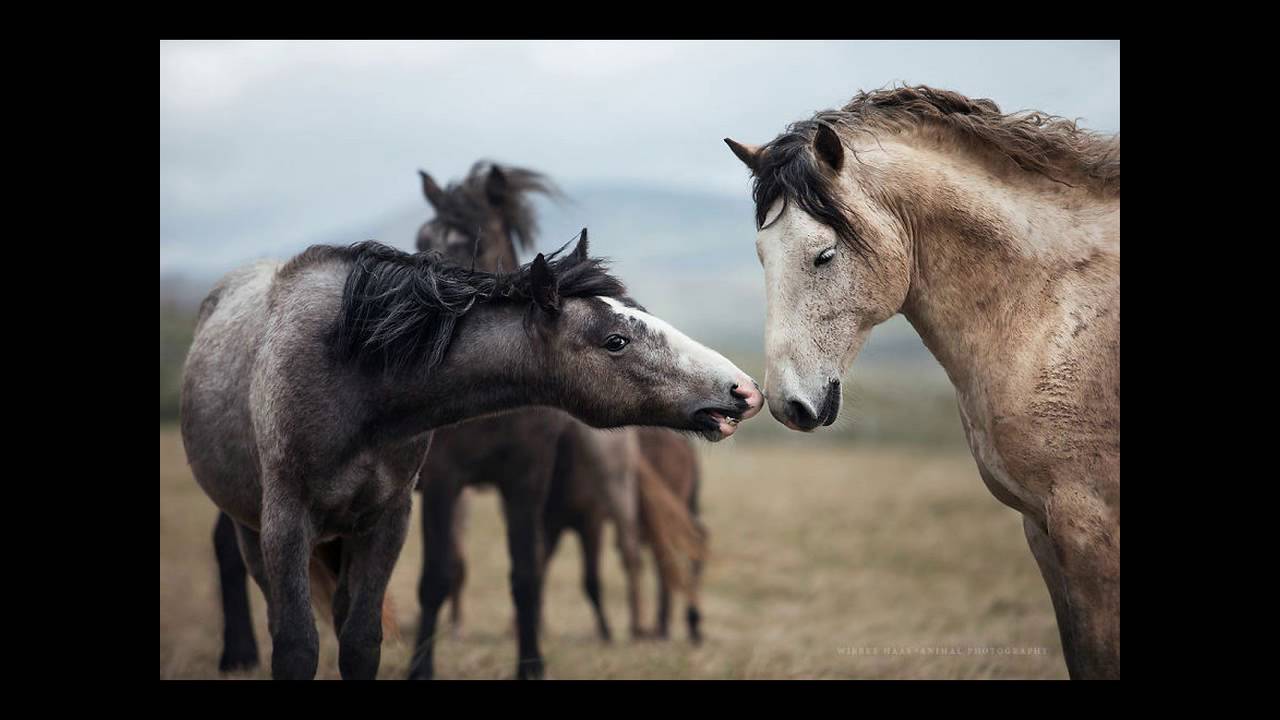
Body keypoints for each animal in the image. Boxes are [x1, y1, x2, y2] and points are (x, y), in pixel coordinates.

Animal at [181, 233, 763, 680]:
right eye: (616, 340)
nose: (744, 389)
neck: (355, 372)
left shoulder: (388, 520)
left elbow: (362, 639)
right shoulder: (287, 521)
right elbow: (298, 644)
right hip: (248, 516)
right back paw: (237, 656)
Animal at [410, 163, 706, 680]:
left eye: (473, 243)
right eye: (421, 237)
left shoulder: (526, 479)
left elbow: (527, 575)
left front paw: (531, 664)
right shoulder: (445, 480)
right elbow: (436, 577)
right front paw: (420, 666)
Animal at [724, 85, 1119, 679]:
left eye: (824, 254)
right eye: (761, 255)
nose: (787, 405)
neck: (1051, 309)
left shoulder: (1088, 530)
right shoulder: (1042, 530)